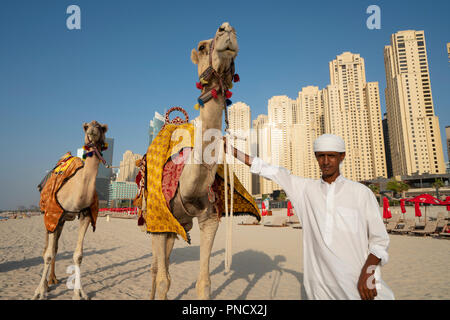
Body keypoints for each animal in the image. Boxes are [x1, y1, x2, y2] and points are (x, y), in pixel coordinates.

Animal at [32, 120, 108, 300]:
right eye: (86, 127)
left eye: (101, 127)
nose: (92, 131)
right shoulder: (52, 215)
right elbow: (48, 254)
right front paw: (39, 293)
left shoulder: (86, 215)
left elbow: (78, 255)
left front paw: (79, 293)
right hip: (49, 217)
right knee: (47, 249)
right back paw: (46, 285)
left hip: (62, 220)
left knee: (55, 247)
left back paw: (52, 279)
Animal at [149, 21, 239, 300]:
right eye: (201, 47)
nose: (227, 29)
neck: (186, 186)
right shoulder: (158, 221)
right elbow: (163, 281)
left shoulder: (209, 219)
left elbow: (204, 283)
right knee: (156, 269)